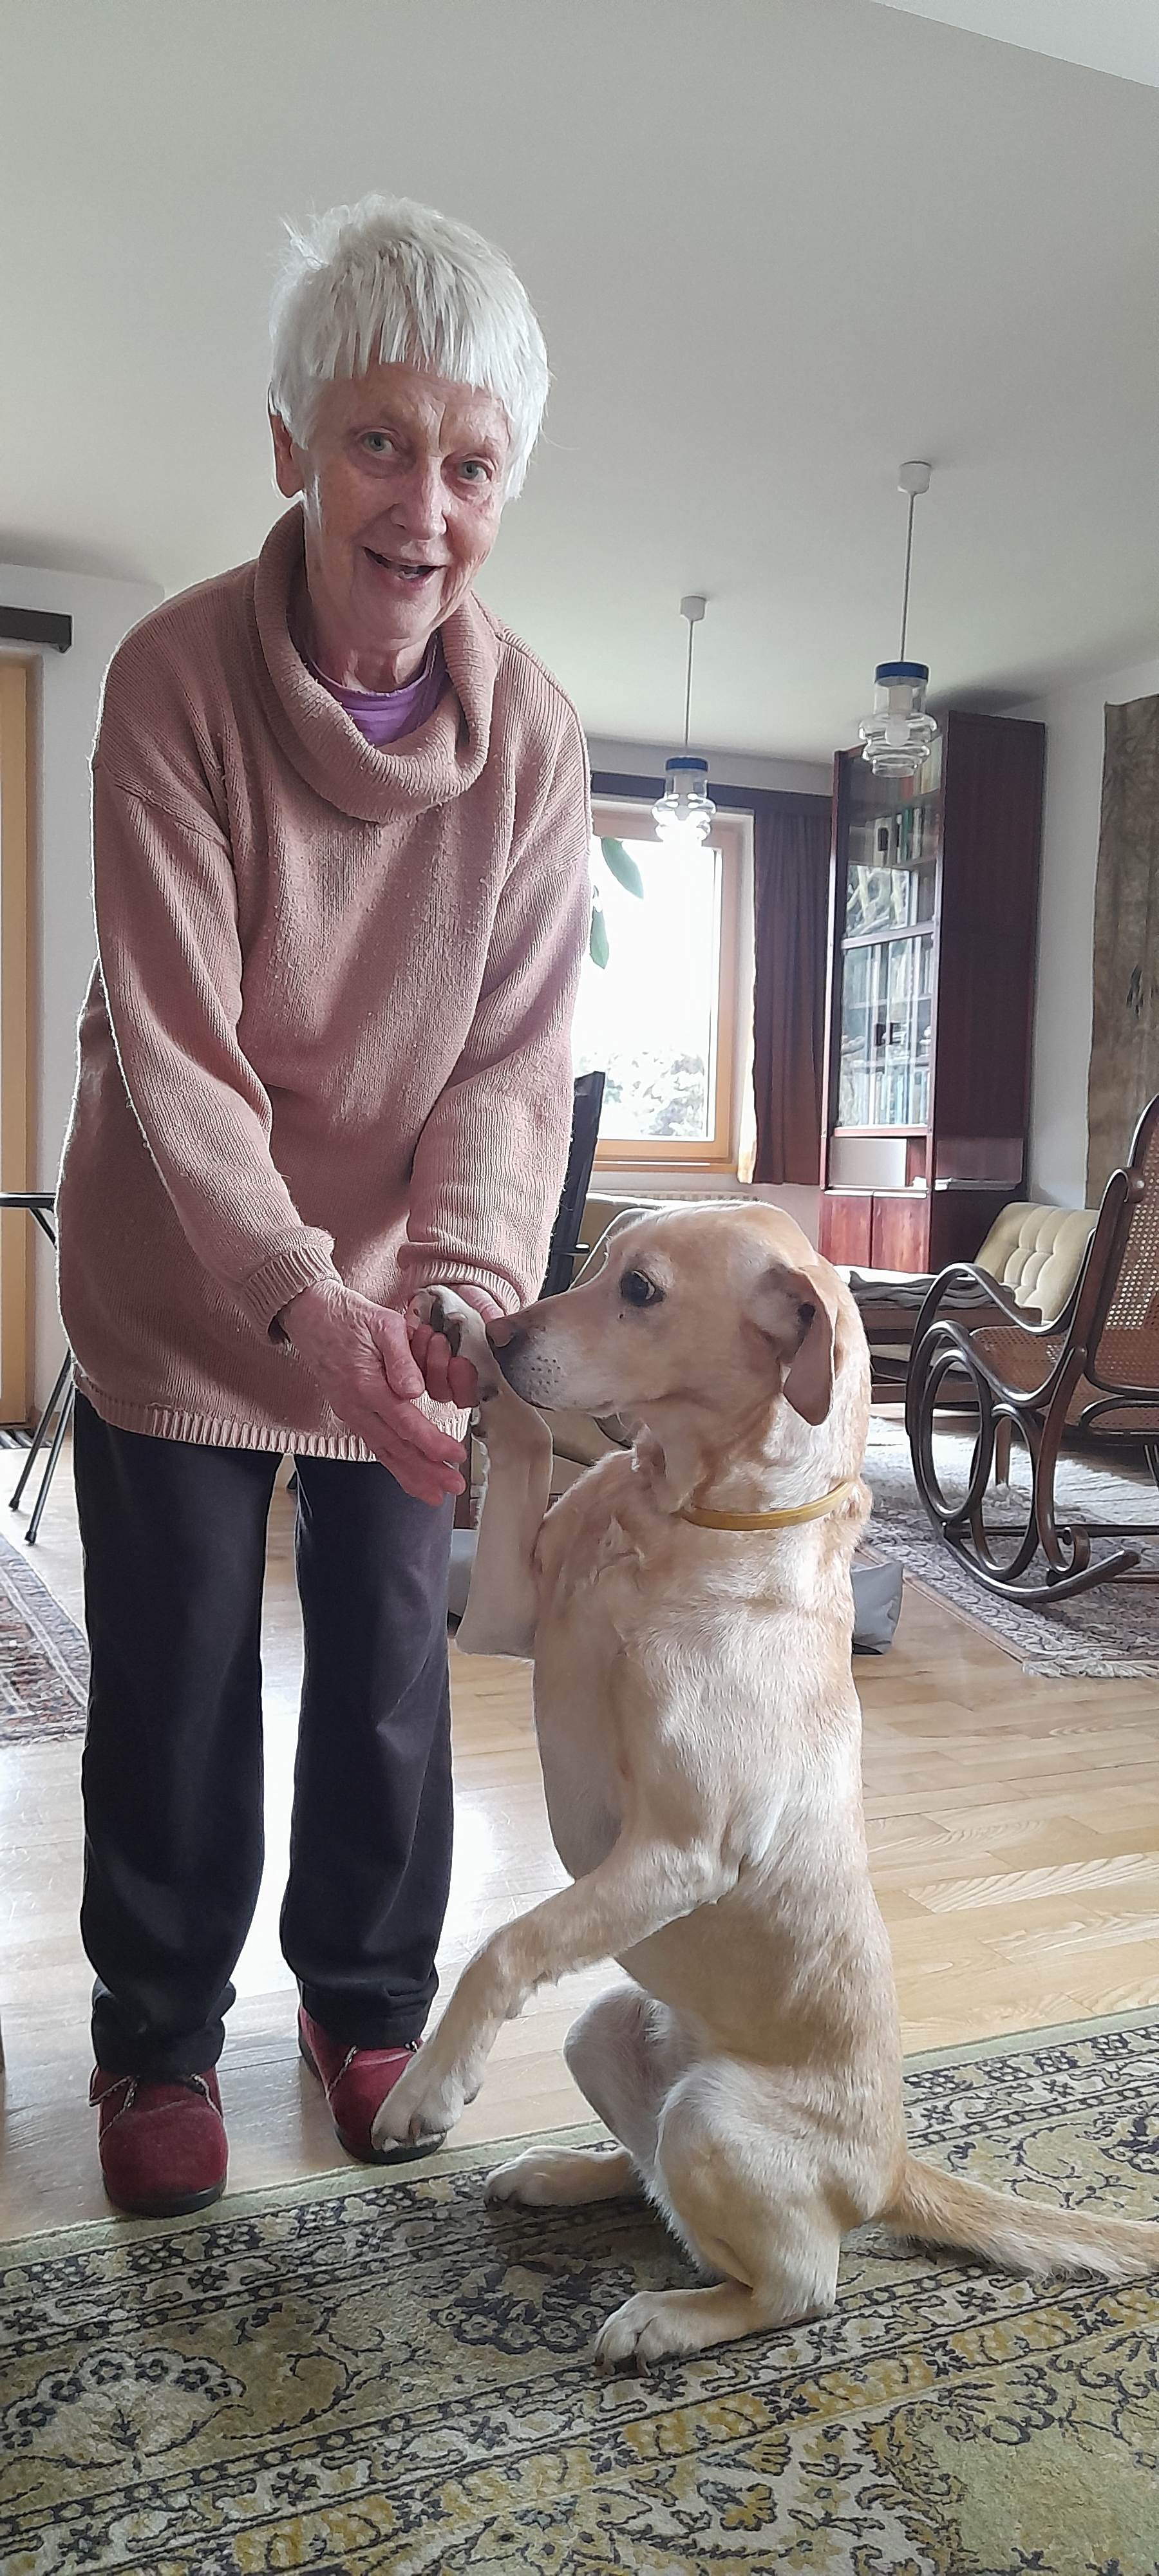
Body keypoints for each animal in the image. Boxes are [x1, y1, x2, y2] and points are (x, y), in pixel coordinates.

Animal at [374, 1203, 1158, 2368]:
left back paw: (667, 2319)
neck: (682, 1514)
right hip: (604, 2025)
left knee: (796, 2284)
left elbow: (506, 1945)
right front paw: (466, 1337)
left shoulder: (683, 1846)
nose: (507, 1335)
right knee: (656, 2183)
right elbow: (525, 1443)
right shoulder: (507, 1616)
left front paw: (430, 2087)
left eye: (642, 1291)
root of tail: (891, 2170)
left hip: (714, 2119)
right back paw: (565, 2175)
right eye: (595, 1264)